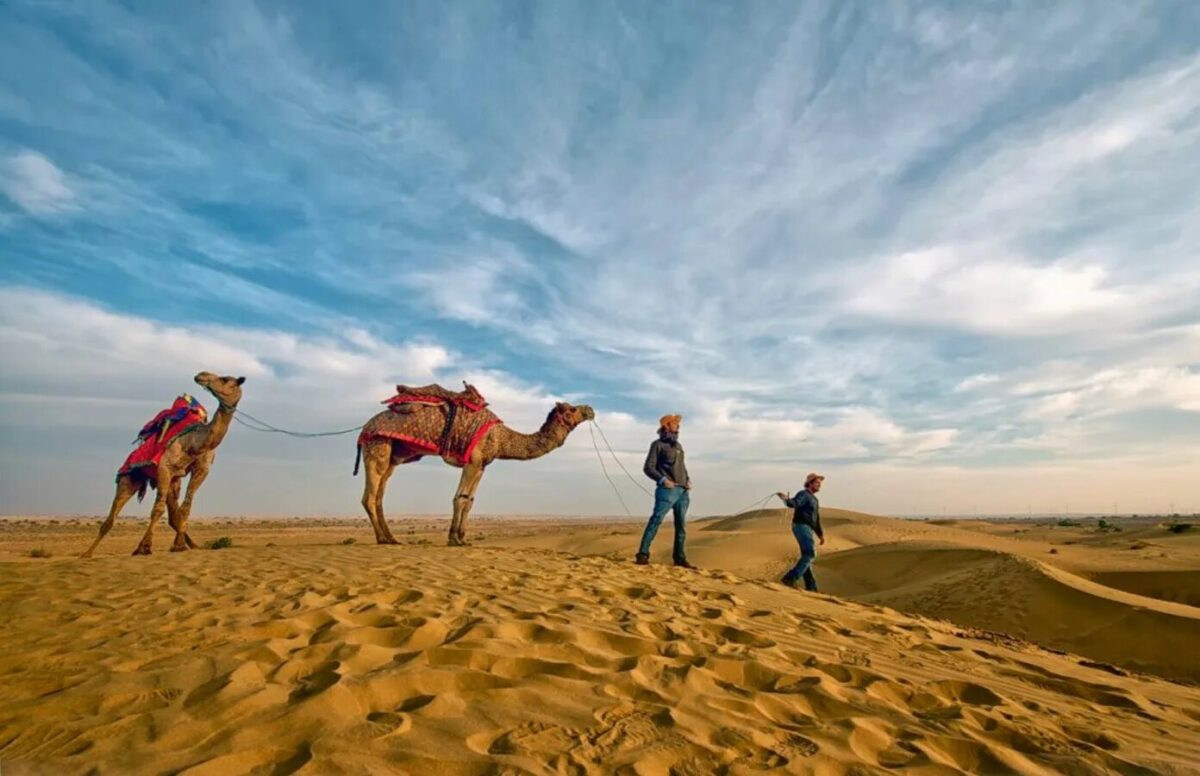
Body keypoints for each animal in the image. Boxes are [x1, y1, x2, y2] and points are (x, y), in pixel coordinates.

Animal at [82, 371, 246, 558]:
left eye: (224, 379)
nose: (201, 375)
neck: (195, 443)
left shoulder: (201, 470)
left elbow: (185, 508)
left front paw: (178, 545)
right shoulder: (164, 468)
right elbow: (158, 509)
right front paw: (144, 547)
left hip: (172, 481)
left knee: (174, 514)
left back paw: (193, 545)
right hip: (130, 477)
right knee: (112, 515)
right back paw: (87, 553)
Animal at [357, 400, 597, 546]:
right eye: (572, 409)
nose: (590, 409)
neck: (501, 439)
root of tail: (364, 427)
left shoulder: (482, 465)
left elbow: (470, 501)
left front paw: (463, 538)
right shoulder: (472, 460)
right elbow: (460, 498)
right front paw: (454, 539)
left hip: (393, 457)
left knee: (379, 496)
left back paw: (391, 538)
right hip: (377, 446)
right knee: (369, 496)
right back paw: (381, 539)